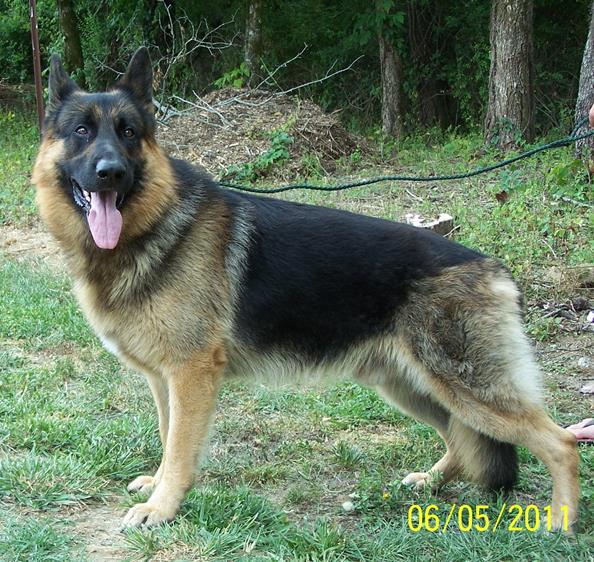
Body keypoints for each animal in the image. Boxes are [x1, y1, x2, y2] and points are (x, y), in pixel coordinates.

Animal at [32, 47, 579, 531]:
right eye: (82, 131)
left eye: (128, 133)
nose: (111, 173)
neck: (155, 226)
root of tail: (496, 269)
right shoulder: (165, 379)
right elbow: (169, 438)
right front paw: (158, 487)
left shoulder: (189, 375)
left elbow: (181, 448)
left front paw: (162, 508)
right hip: (413, 386)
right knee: (463, 441)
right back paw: (430, 481)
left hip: (468, 390)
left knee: (561, 443)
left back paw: (560, 521)